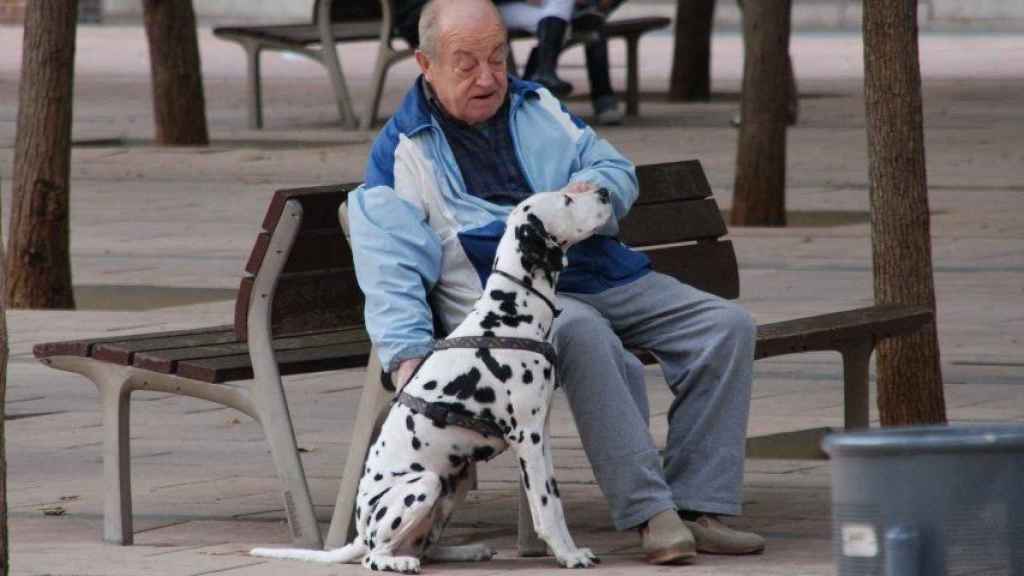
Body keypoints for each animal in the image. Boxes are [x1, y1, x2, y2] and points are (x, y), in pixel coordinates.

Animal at [251, 182, 610, 569]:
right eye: (567, 200)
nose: (604, 191)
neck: (508, 315)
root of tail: (360, 532)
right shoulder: (527, 438)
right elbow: (545, 507)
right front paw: (567, 556)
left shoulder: (540, 435)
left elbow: (555, 503)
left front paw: (571, 550)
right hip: (424, 485)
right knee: (376, 556)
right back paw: (398, 562)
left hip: (457, 477)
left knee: (426, 547)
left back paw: (465, 551)